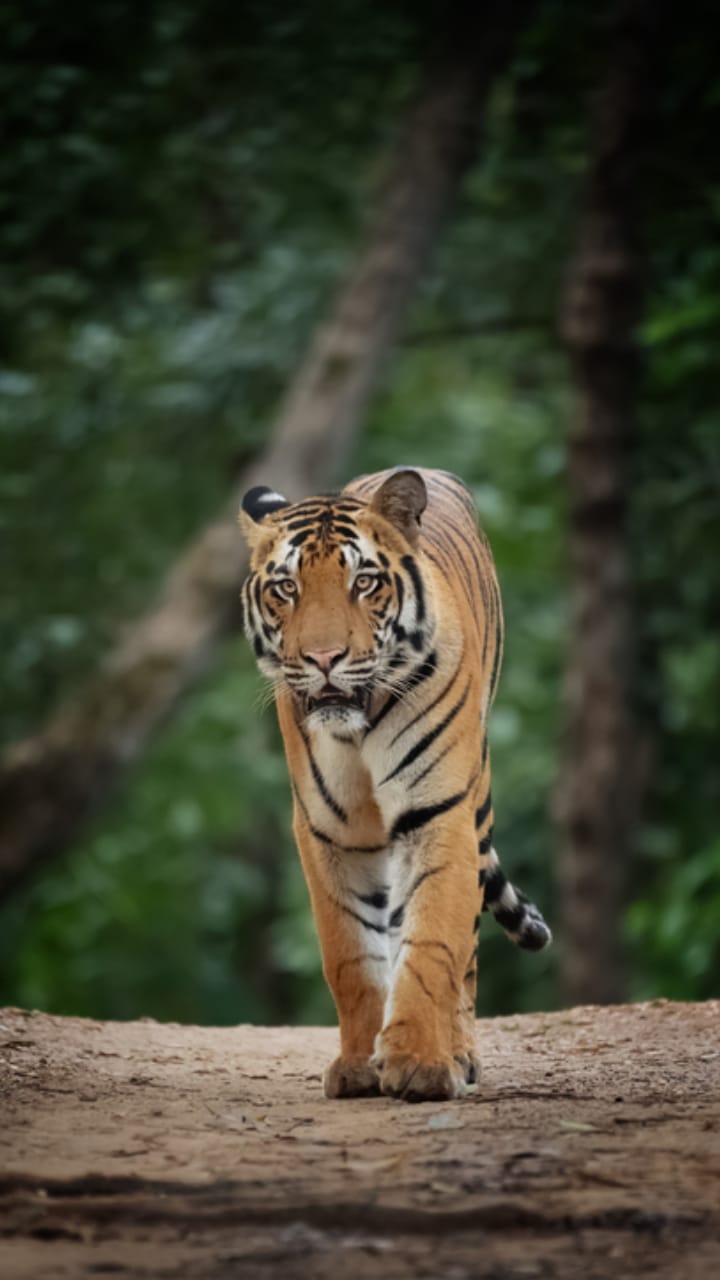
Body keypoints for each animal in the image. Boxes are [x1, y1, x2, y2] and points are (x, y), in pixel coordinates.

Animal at [239, 466, 550, 1103]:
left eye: (364, 582)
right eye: (286, 588)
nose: (324, 657)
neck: (356, 729)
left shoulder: (438, 813)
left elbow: (431, 944)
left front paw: (420, 1064)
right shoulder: (327, 831)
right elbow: (351, 956)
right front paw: (360, 1064)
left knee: (467, 952)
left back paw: (460, 1053)